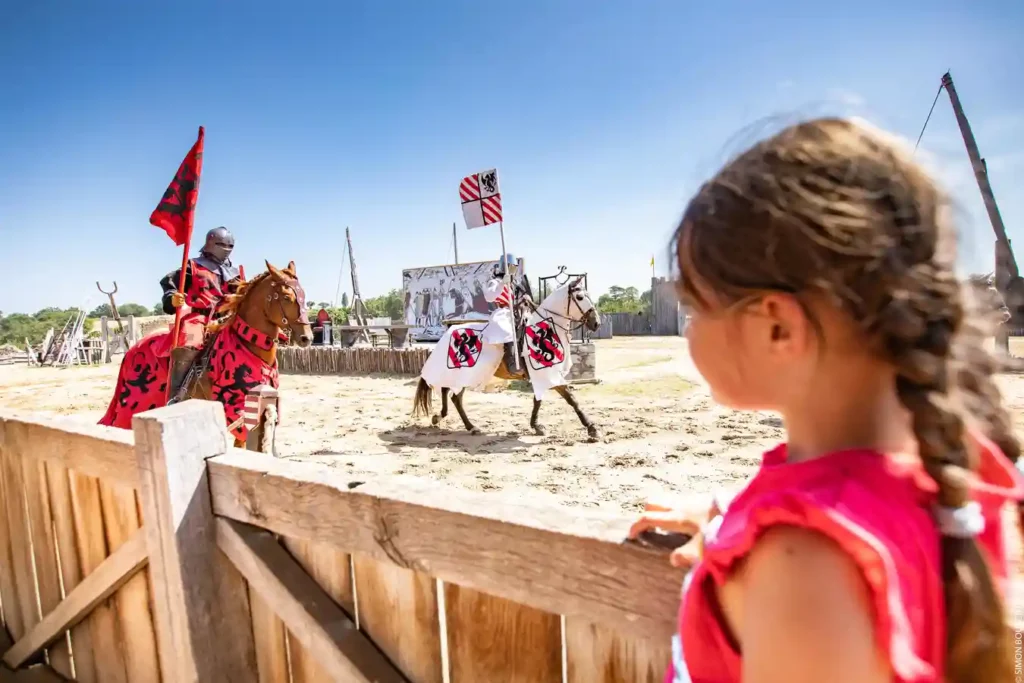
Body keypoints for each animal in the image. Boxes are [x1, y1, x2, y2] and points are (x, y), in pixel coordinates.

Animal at [98, 262, 311, 448]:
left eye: (303, 295)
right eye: (286, 297)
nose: (306, 337)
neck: (247, 343)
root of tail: (132, 349)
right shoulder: (236, 406)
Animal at [411, 278, 598, 438]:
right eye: (580, 297)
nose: (596, 323)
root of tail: (448, 332)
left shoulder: (542, 376)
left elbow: (538, 400)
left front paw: (536, 425)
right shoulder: (547, 373)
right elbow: (571, 399)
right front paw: (591, 428)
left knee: (449, 393)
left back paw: (445, 418)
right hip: (464, 373)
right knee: (453, 395)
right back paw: (468, 426)